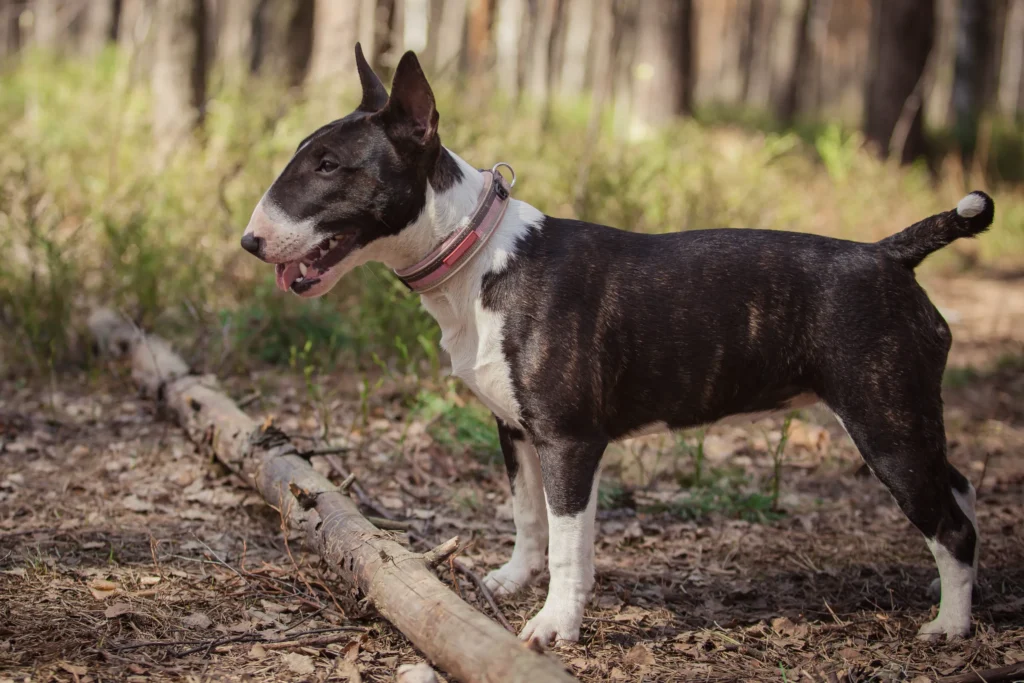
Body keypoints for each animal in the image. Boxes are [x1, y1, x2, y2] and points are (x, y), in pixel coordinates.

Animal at [239, 45, 991, 651]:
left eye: (329, 165)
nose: (249, 240)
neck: (477, 256)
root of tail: (888, 254)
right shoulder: (516, 430)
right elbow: (530, 516)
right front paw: (514, 579)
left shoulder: (570, 438)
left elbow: (567, 541)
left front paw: (554, 624)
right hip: (906, 420)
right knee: (958, 487)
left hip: (884, 423)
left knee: (951, 523)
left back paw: (951, 625)